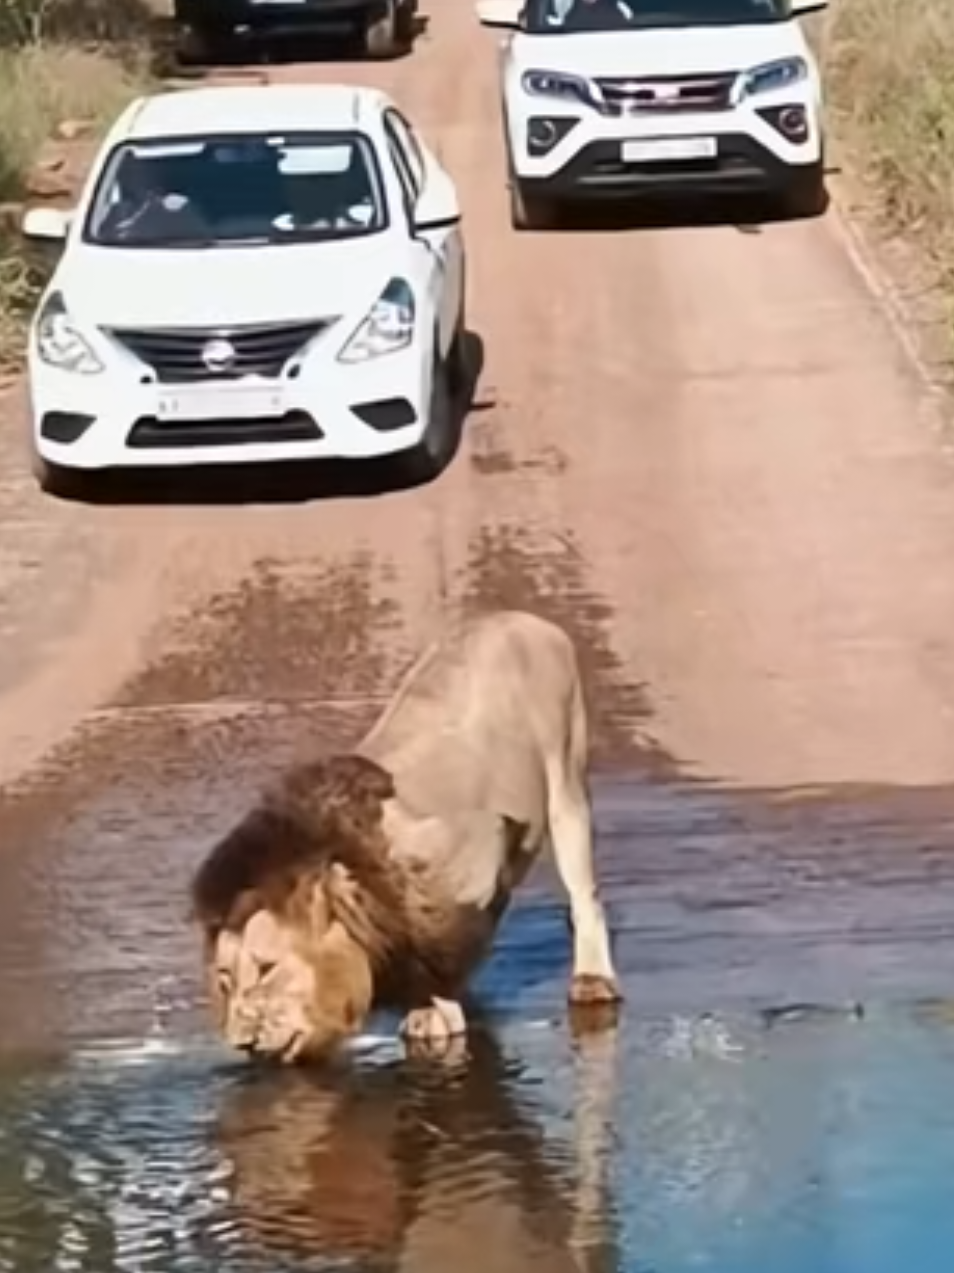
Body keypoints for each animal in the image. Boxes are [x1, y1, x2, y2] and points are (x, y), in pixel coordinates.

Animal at [190, 609, 622, 1064]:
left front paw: (436, 1010)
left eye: (267, 969)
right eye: (224, 980)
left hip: (566, 779)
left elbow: (444, 944)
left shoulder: (478, 850)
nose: (243, 1043)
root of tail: (519, 617)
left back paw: (592, 980)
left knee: (584, 894)